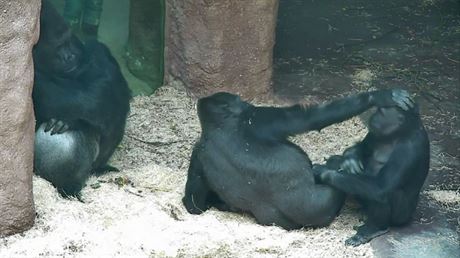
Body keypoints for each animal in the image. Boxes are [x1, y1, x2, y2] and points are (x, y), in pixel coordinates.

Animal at [182, 89, 414, 230]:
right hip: (321, 210)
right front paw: (379, 97)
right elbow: (312, 118)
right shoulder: (259, 117)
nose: (245, 101)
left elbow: (193, 204)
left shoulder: (197, 152)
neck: (219, 125)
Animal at [314, 105, 430, 246]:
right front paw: (350, 159)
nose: (374, 116)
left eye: (382, 112)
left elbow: (381, 187)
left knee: (385, 193)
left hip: (402, 216)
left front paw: (321, 171)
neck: (397, 133)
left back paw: (373, 228)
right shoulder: (375, 133)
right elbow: (363, 147)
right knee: (336, 162)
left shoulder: (408, 147)